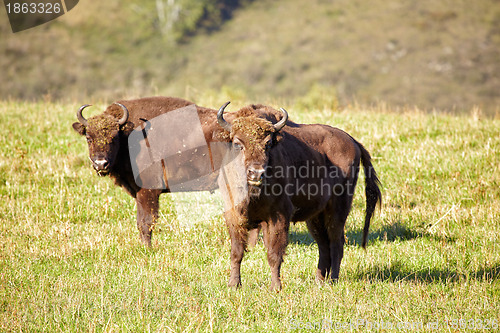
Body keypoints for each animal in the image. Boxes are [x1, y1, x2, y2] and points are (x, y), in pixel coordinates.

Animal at [72, 96, 225, 246]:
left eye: (114, 137)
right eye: (88, 138)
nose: (101, 164)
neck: (128, 137)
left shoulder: (148, 191)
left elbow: (146, 222)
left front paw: (147, 248)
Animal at [216, 102, 382, 290]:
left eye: (268, 144)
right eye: (238, 144)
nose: (256, 173)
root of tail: (353, 141)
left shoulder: (279, 215)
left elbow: (274, 253)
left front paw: (276, 287)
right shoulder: (234, 215)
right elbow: (237, 252)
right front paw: (233, 284)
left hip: (339, 208)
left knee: (336, 243)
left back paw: (333, 280)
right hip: (315, 217)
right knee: (324, 246)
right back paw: (319, 281)